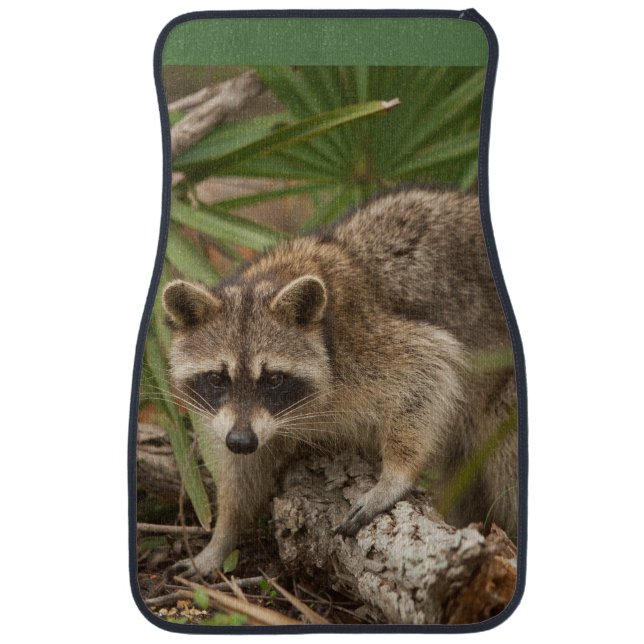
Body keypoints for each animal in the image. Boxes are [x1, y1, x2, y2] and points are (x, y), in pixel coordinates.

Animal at [161, 188, 517, 578]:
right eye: (216, 379)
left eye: (273, 380)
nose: (241, 441)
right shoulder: (234, 421)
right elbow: (244, 473)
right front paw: (221, 538)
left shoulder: (364, 341)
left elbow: (432, 364)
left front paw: (396, 474)